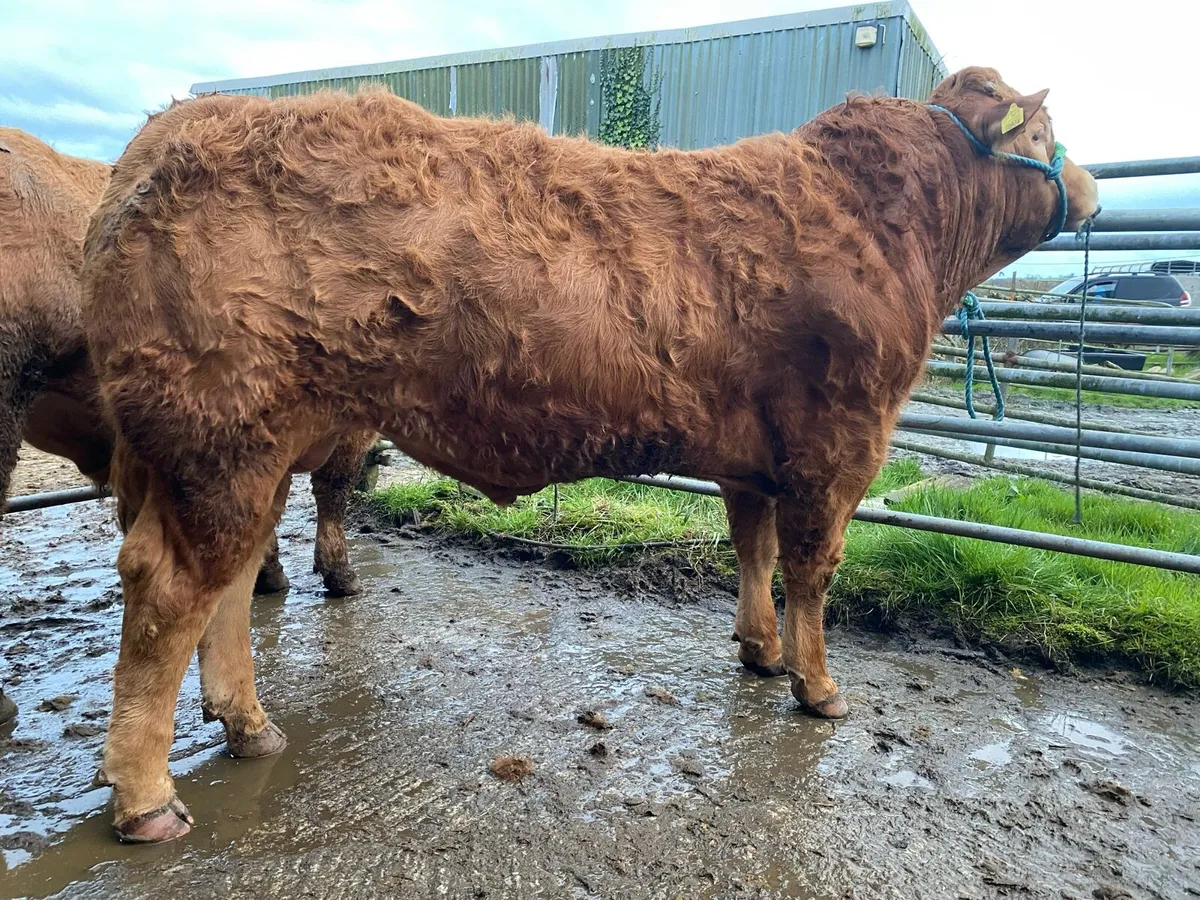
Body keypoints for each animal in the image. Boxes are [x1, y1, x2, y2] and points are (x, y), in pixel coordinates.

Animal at [82, 67, 1099, 842]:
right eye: (1048, 126)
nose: (1091, 187)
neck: (896, 231)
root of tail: (164, 131)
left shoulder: (752, 458)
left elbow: (755, 550)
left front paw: (761, 653)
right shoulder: (839, 445)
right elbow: (812, 569)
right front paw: (818, 687)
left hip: (246, 446)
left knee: (227, 583)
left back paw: (249, 726)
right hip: (220, 433)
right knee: (169, 590)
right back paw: (147, 798)